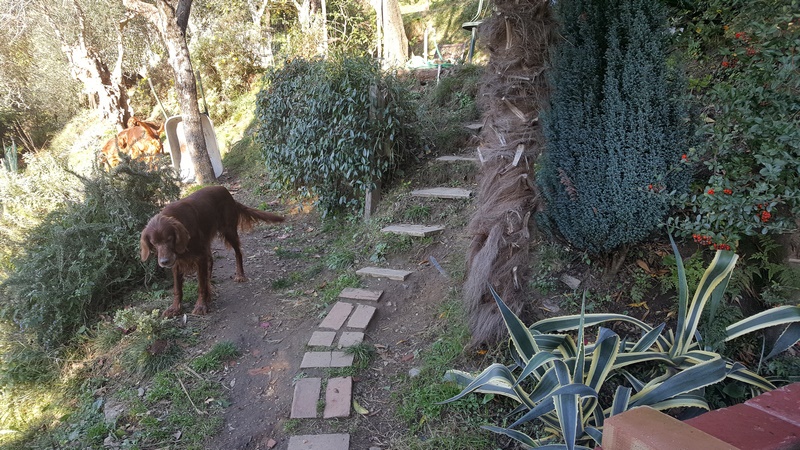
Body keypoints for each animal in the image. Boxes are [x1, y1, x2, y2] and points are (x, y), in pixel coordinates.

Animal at [141, 186, 284, 316]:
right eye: (154, 243)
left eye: (169, 239)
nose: (164, 262)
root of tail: (225, 190)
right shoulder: (177, 262)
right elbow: (177, 288)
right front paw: (175, 308)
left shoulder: (199, 257)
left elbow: (201, 285)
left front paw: (201, 305)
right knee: (211, 262)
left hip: (229, 231)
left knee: (238, 253)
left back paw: (240, 275)